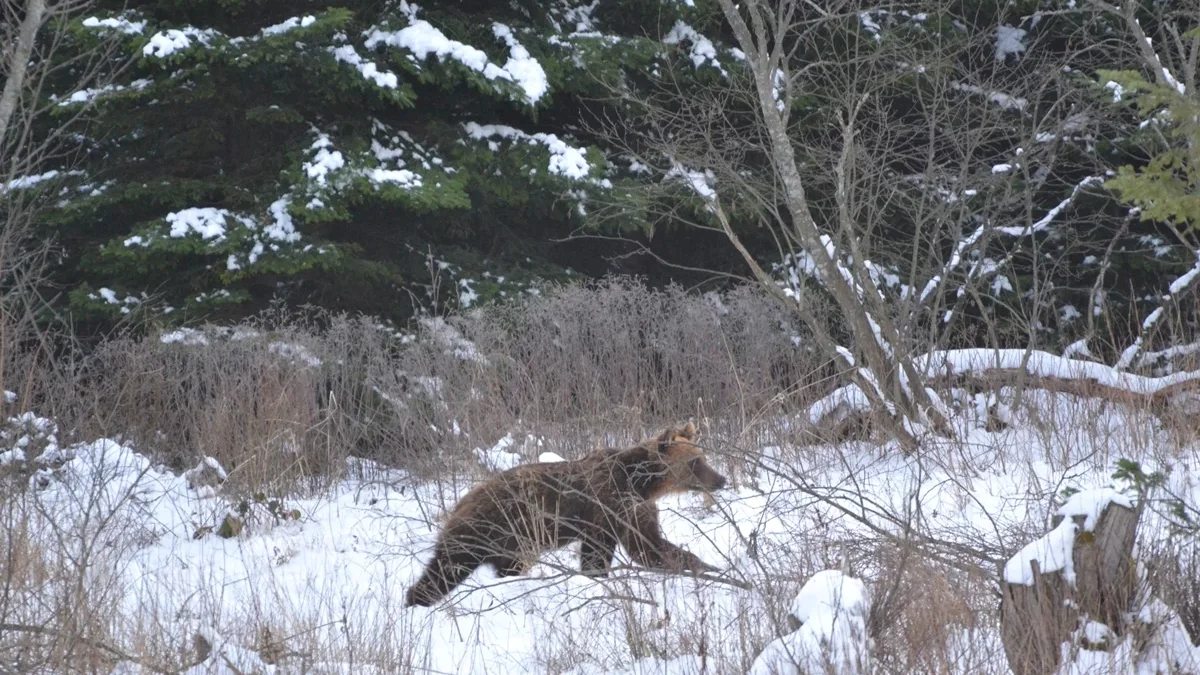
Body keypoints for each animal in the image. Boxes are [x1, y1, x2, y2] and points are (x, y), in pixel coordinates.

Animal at [403, 420, 724, 605]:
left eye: (703, 456)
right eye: (696, 461)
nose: (721, 479)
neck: (642, 484)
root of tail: (461, 502)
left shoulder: (636, 510)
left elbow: (649, 547)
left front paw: (705, 565)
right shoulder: (606, 505)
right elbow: (596, 554)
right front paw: (598, 579)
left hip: (507, 542)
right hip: (493, 529)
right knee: (447, 568)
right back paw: (415, 600)